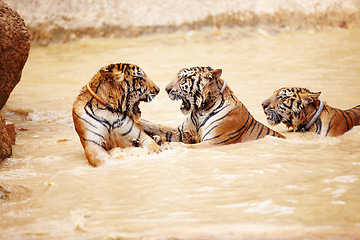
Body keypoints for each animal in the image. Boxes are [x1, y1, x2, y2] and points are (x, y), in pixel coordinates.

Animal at [139, 66, 286, 148]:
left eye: (183, 78)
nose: (166, 89)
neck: (200, 110)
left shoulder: (213, 142)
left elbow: (186, 147)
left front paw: (164, 143)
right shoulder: (183, 132)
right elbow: (156, 126)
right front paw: (139, 122)